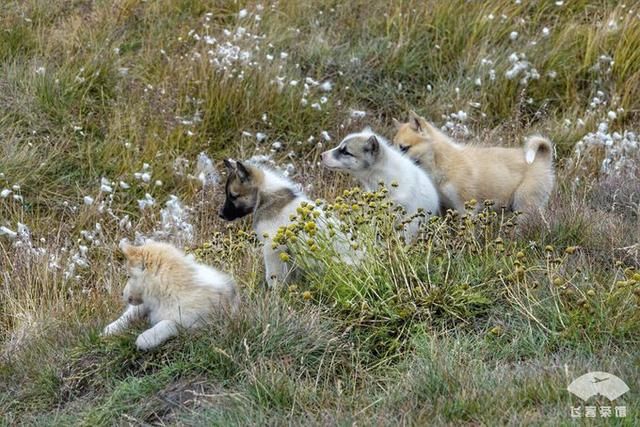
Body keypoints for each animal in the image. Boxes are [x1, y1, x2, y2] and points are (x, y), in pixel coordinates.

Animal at [102, 241, 238, 352]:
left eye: (129, 276)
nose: (121, 294)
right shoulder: (146, 303)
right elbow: (130, 313)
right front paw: (111, 328)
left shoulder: (200, 323)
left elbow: (168, 323)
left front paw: (146, 337)